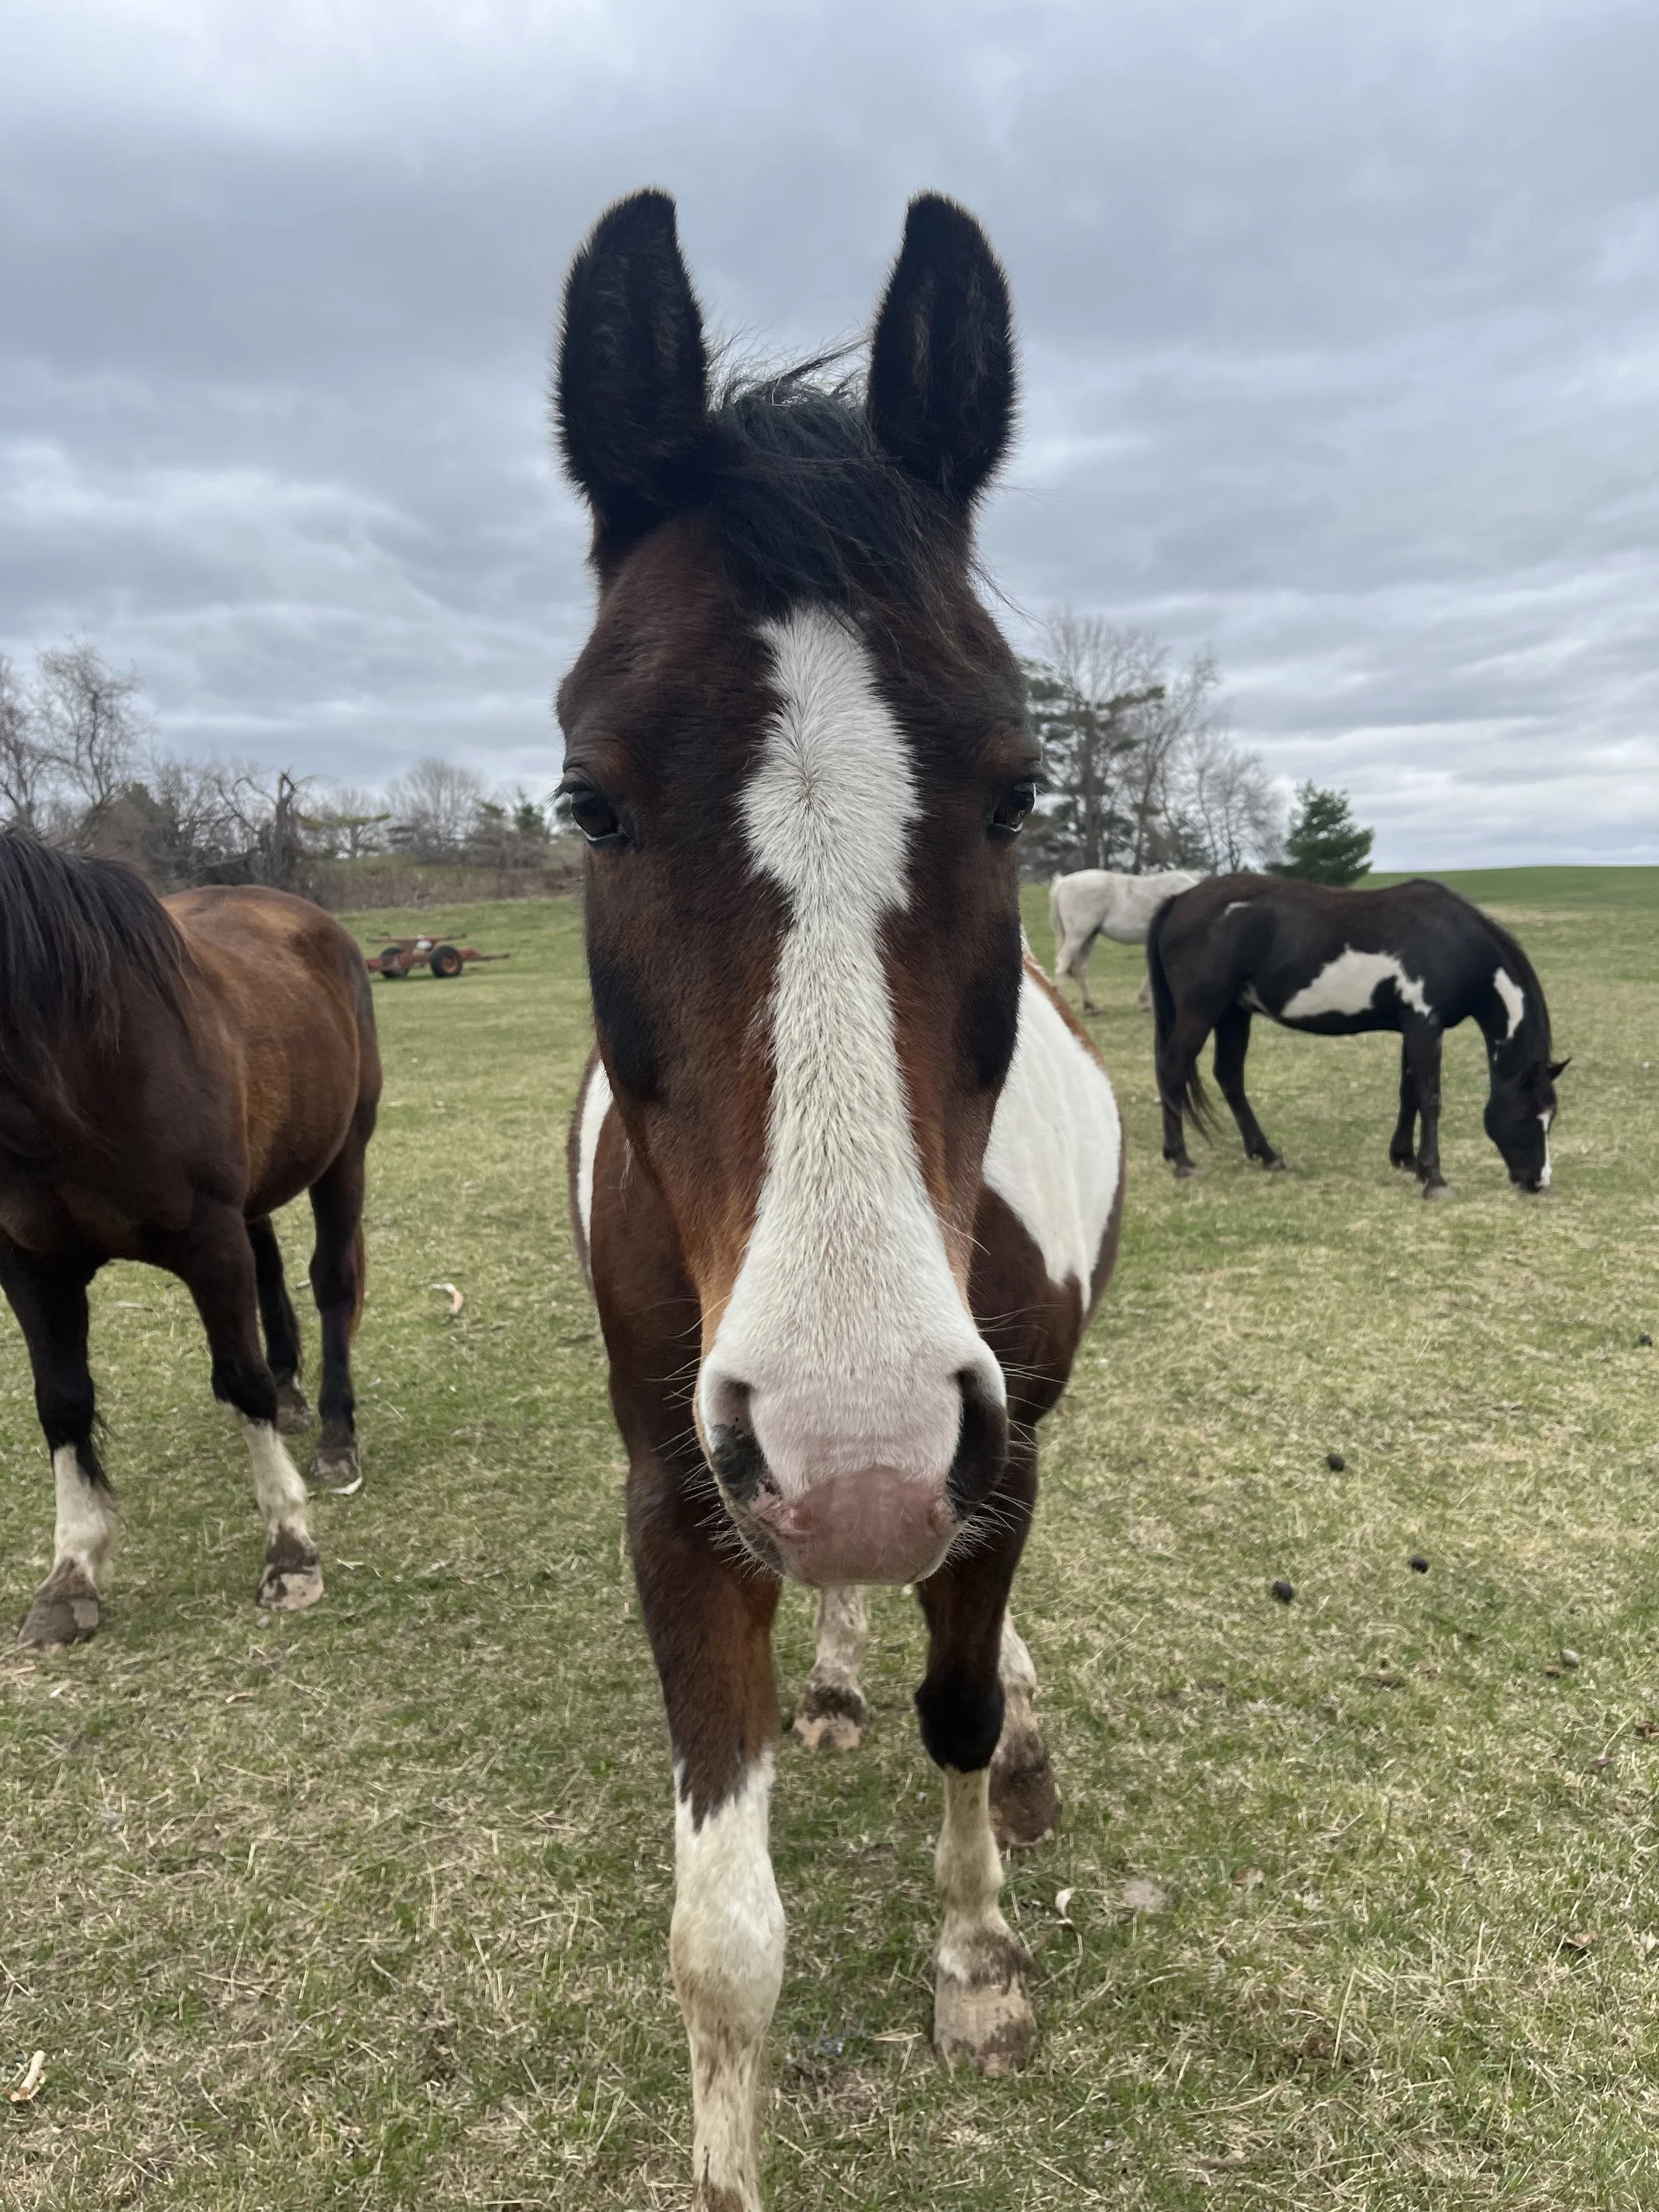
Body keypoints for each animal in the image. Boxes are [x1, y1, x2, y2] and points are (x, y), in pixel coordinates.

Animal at [0, 831, 380, 1647]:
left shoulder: (210, 1242)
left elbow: (241, 1379)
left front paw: (291, 1552)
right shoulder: (32, 1265)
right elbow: (63, 1403)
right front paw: (71, 1575)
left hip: (344, 1156)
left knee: (331, 1282)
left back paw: (336, 1435)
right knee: (271, 1270)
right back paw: (294, 1395)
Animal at [557, 190, 1124, 2209]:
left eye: (1015, 790)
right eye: (587, 801)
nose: (858, 1444)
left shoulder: (994, 1449)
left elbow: (960, 1713)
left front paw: (976, 1960)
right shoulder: (679, 1488)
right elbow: (720, 1938)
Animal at [1050, 867, 1203, 1012]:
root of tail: (1063, 882)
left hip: (1089, 937)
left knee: (1079, 968)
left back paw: (1091, 1007)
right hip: (1078, 935)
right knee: (1063, 963)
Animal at [1147, 871, 1565, 1195]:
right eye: (1531, 1113)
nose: (1538, 1181)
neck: (1452, 942)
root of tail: (1180, 900)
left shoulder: (1414, 1028)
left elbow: (1409, 1093)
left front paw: (1407, 1160)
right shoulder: (1425, 1026)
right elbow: (1430, 1099)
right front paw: (1434, 1179)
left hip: (1233, 1015)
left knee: (1229, 1076)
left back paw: (1266, 1155)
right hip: (1201, 1011)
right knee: (1173, 1071)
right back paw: (1182, 1159)